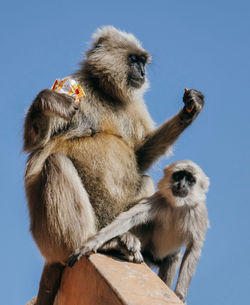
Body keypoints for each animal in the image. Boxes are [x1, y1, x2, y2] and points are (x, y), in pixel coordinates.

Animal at [68, 159, 209, 302]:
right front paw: (92, 243)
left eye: (190, 180)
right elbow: (129, 218)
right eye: (178, 176)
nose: (181, 184)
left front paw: (180, 295)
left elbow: (194, 248)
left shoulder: (198, 212)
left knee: (173, 257)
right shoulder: (159, 199)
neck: (178, 205)